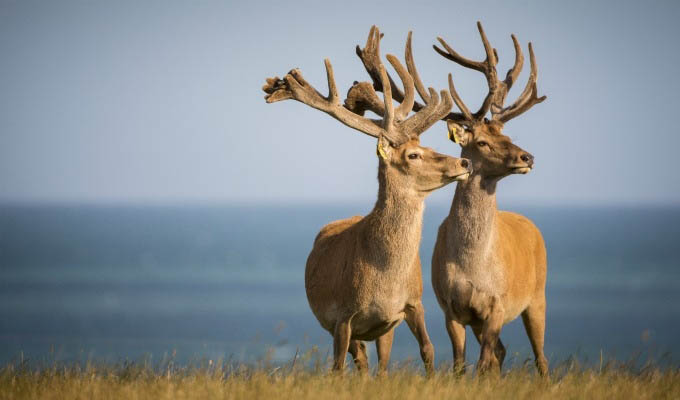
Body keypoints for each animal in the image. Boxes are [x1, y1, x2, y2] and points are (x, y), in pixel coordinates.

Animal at [262, 25, 472, 376]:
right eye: (413, 155)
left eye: (429, 146)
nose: (464, 162)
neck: (384, 280)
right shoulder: (342, 317)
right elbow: (337, 367)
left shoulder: (411, 304)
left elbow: (428, 349)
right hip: (340, 326)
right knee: (358, 360)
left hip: (383, 329)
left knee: (379, 364)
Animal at [430, 22, 552, 376]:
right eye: (482, 142)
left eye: (507, 135)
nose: (527, 157)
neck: (472, 265)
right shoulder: (451, 309)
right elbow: (461, 363)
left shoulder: (498, 303)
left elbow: (484, 360)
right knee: (501, 350)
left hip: (537, 295)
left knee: (540, 355)